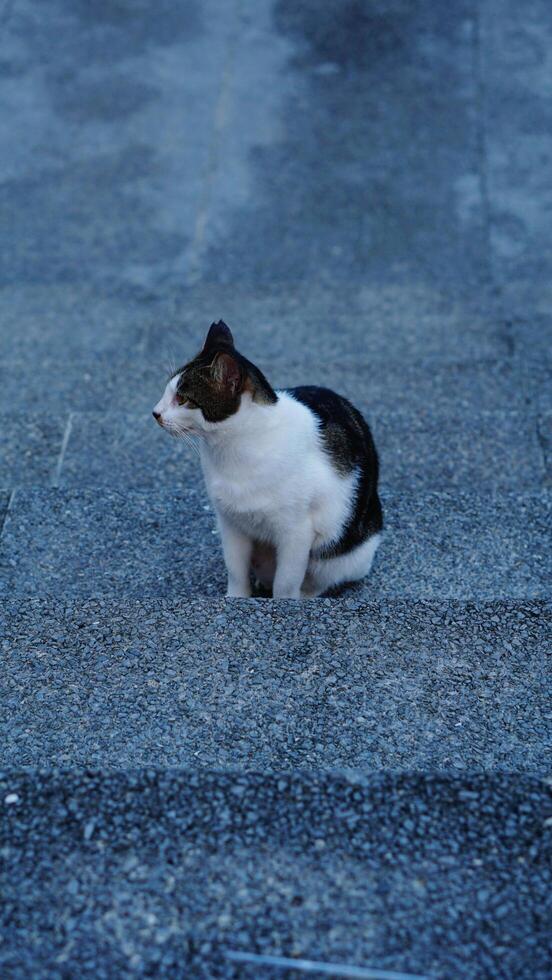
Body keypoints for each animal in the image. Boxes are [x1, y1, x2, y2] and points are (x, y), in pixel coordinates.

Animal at [153, 322, 382, 596]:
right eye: (167, 392)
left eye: (183, 399)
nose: (155, 413)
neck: (233, 448)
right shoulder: (231, 523)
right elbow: (235, 570)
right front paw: (236, 597)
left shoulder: (296, 531)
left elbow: (286, 582)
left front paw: (286, 600)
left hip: (343, 557)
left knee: (321, 578)